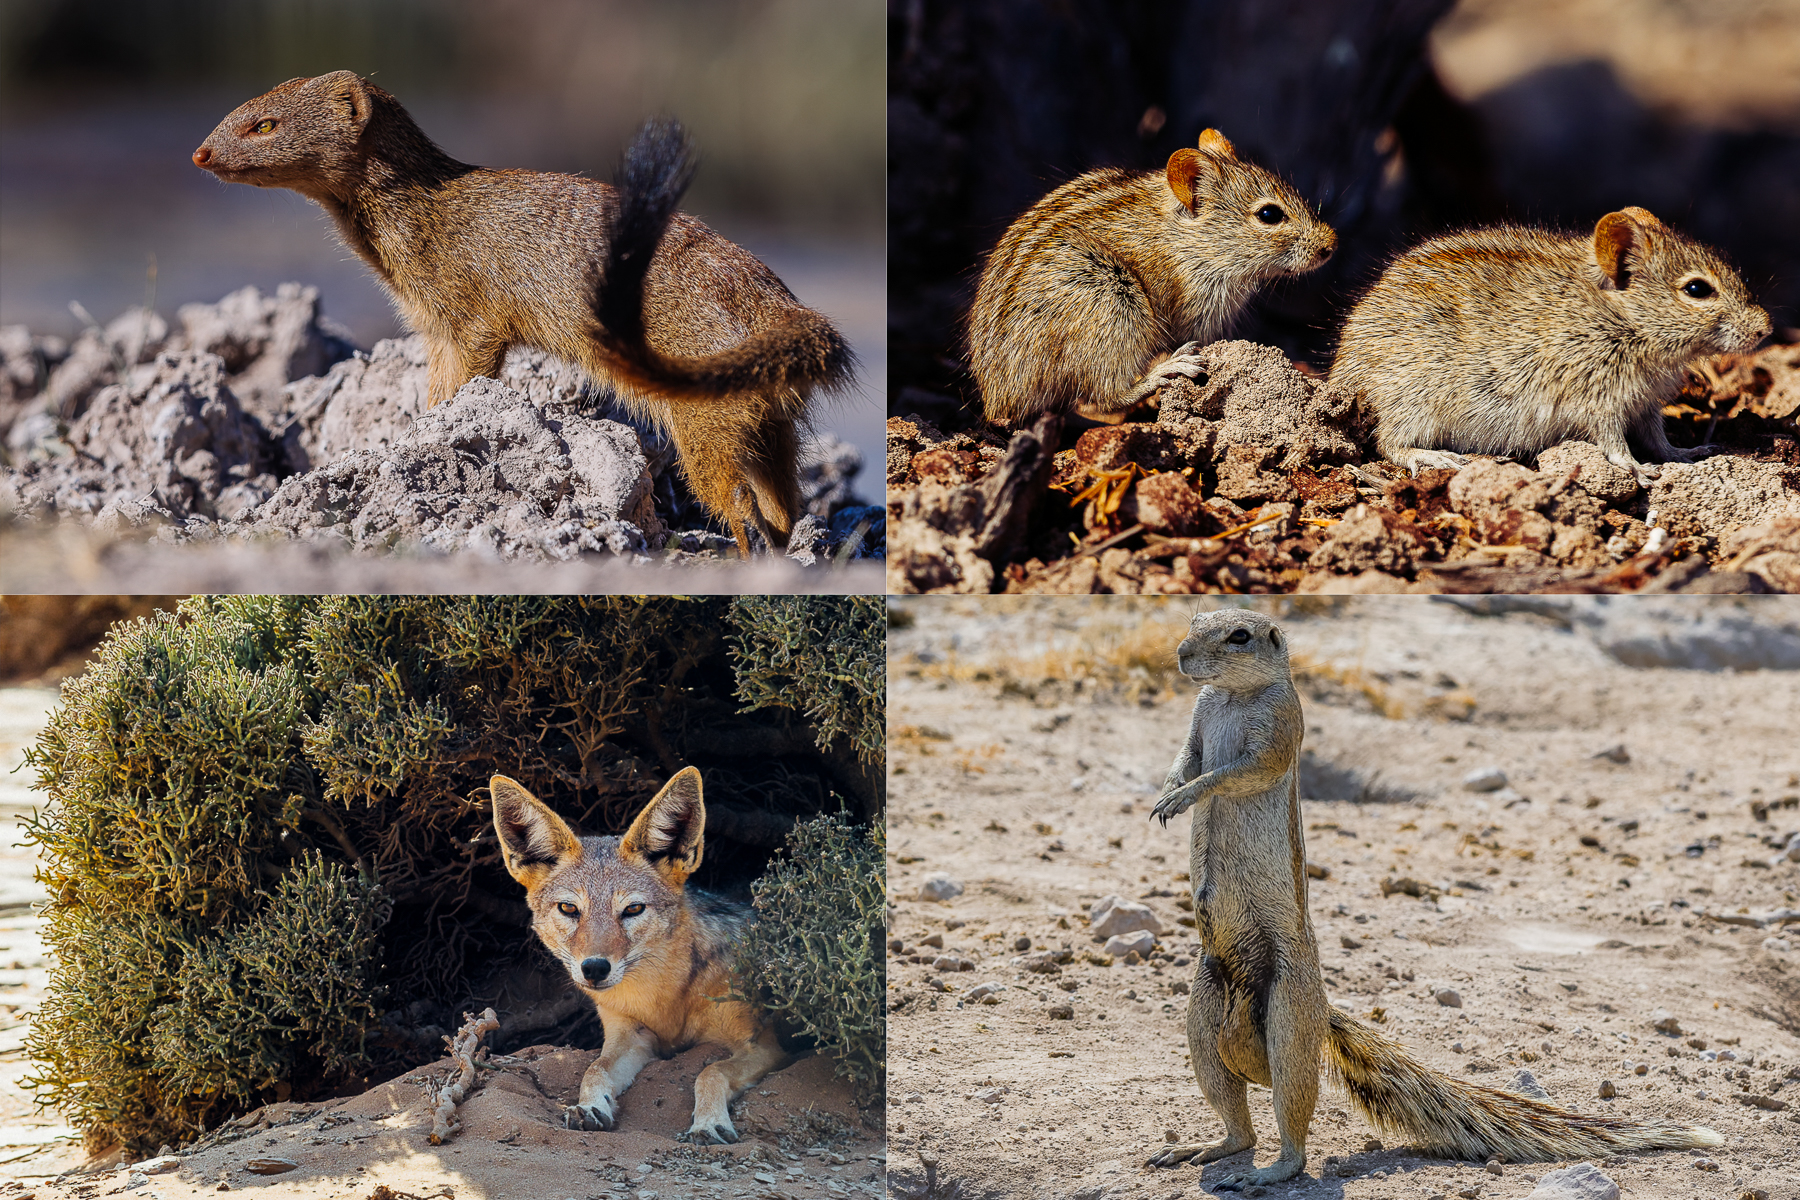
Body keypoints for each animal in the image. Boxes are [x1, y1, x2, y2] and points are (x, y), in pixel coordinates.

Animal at [192, 70, 854, 554]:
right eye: (240, 109)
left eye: (263, 123)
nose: (200, 152)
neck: (418, 224)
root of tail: (776, 300)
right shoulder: (432, 328)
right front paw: (418, 431)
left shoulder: (468, 312)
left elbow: (469, 369)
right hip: (769, 411)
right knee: (783, 496)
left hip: (707, 402)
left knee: (737, 495)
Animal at [967, 129, 1336, 429]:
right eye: (1269, 214)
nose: (1330, 246)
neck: (1188, 238)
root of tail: (1000, 400)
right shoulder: (1200, 315)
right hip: (1111, 307)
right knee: (1107, 394)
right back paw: (1168, 370)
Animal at [1148, 609, 1721, 1191]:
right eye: (1195, 619)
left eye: (1239, 637)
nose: (1181, 654)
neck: (1232, 696)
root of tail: (1322, 1009)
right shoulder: (1198, 721)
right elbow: (1188, 756)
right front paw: (1169, 788)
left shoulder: (1279, 729)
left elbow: (1237, 771)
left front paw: (1185, 794)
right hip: (1201, 1013)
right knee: (1238, 1118)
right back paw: (1204, 1147)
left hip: (1288, 1015)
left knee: (1291, 1121)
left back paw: (1266, 1172)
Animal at [1326, 207, 1772, 487]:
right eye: (1697, 289)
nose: (1766, 328)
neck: (1623, 320)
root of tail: (1341, 376)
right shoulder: (1599, 403)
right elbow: (1615, 446)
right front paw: (1636, 471)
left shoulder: (1644, 404)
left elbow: (1659, 440)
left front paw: (1688, 453)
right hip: (1415, 398)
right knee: (1388, 442)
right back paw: (1434, 457)